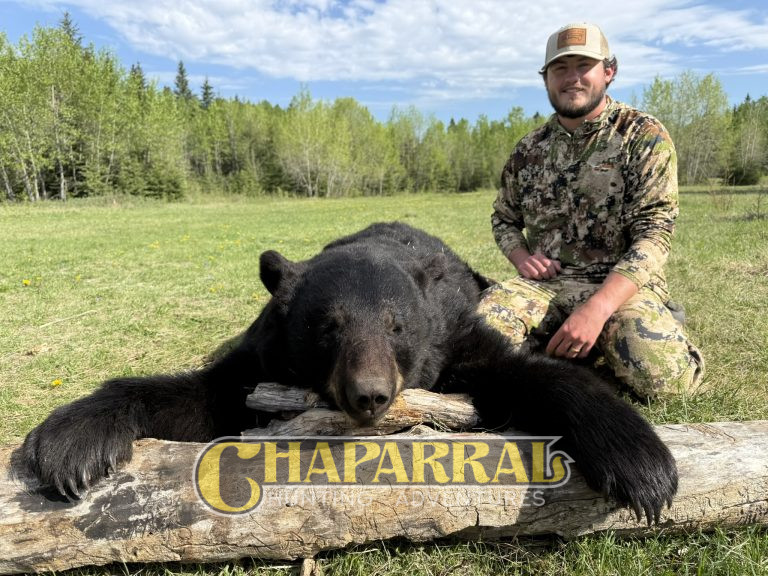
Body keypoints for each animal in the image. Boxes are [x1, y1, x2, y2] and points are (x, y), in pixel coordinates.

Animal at [22, 221, 677, 524]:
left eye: (397, 326)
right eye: (327, 326)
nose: (370, 395)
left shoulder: (454, 338)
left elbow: (526, 374)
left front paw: (642, 466)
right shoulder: (260, 357)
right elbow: (199, 397)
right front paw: (70, 441)